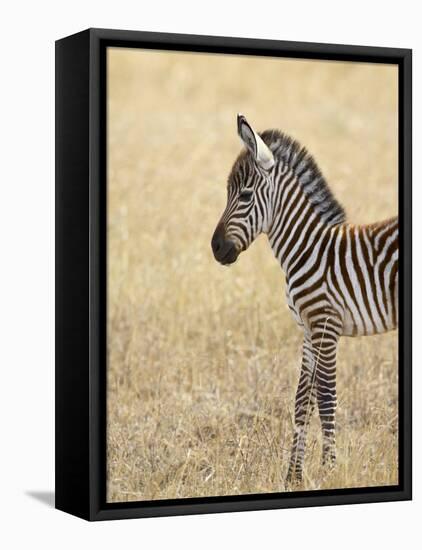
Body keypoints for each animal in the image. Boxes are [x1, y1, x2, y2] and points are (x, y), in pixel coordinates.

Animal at [211, 114, 398, 486]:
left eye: (245, 195)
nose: (215, 248)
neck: (307, 247)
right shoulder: (309, 330)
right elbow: (302, 400)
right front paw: (293, 475)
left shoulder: (326, 324)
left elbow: (326, 398)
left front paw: (328, 470)